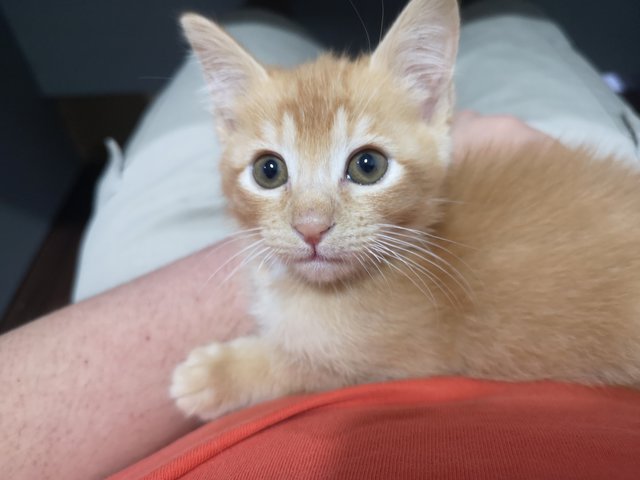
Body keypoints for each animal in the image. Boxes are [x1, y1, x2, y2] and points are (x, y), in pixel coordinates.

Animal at [170, 0, 640, 420]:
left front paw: (213, 375)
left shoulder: (400, 359)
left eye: (368, 165)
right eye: (268, 171)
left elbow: (302, 364)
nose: (311, 228)